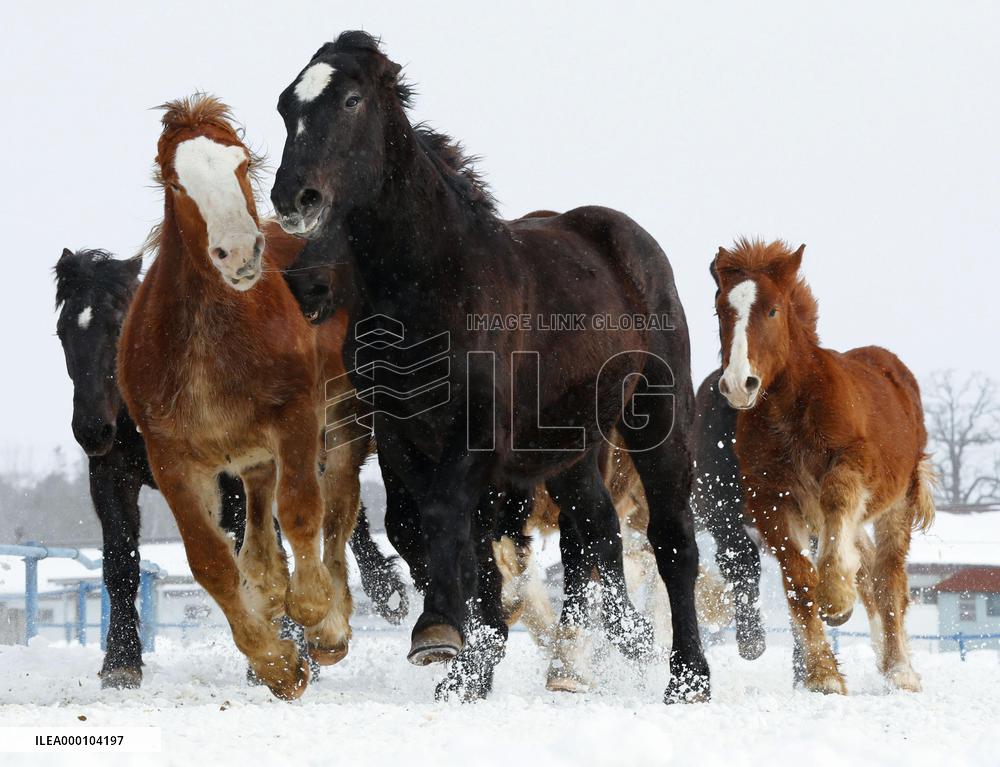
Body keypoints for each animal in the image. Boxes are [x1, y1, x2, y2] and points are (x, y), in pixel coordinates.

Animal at [53, 248, 406, 688]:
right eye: (62, 332)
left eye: (119, 324)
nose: (92, 429)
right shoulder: (112, 477)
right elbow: (120, 562)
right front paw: (121, 662)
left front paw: (278, 652)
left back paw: (380, 594)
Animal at [117, 95, 372, 700]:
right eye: (175, 179)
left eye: (240, 162)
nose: (238, 252)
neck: (212, 340)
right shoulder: (170, 457)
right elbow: (211, 560)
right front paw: (275, 662)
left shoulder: (296, 418)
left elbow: (303, 513)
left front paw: (315, 617)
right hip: (252, 458)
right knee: (258, 542)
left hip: (347, 420)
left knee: (338, 510)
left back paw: (331, 620)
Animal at [270, 32, 709, 703]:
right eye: (285, 106)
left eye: (350, 100)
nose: (294, 198)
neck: (435, 284)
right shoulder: (399, 430)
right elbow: (426, 530)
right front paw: (470, 659)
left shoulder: (476, 430)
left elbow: (446, 515)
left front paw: (440, 634)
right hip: (570, 447)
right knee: (595, 528)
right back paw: (609, 649)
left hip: (656, 415)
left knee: (672, 539)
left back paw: (687, 677)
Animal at [712, 238, 935, 693]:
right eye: (722, 310)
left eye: (773, 310)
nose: (739, 383)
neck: (791, 409)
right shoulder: (769, 496)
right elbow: (798, 579)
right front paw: (823, 675)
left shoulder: (852, 466)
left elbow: (835, 502)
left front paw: (835, 597)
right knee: (868, 570)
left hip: (898, 502)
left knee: (888, 577)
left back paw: (900, 670)